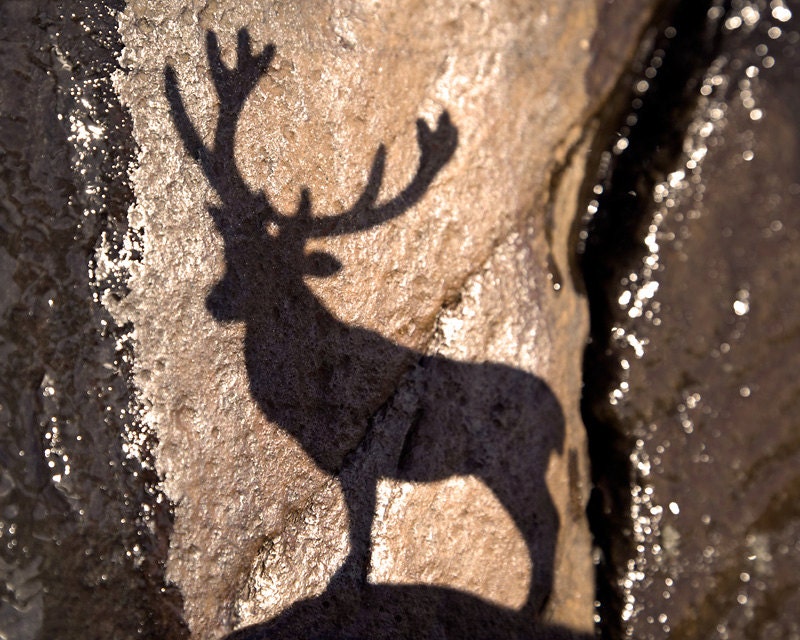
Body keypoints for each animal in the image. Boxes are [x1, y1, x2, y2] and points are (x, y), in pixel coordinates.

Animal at [165, 28, 565, 631]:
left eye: (284, 267)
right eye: (237, 251)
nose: (216, 302)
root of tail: (561, 422)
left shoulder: (364, 453)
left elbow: (361, 530)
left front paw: (342, 593)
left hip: (514, 463)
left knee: (549, 527)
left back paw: (530, 610)